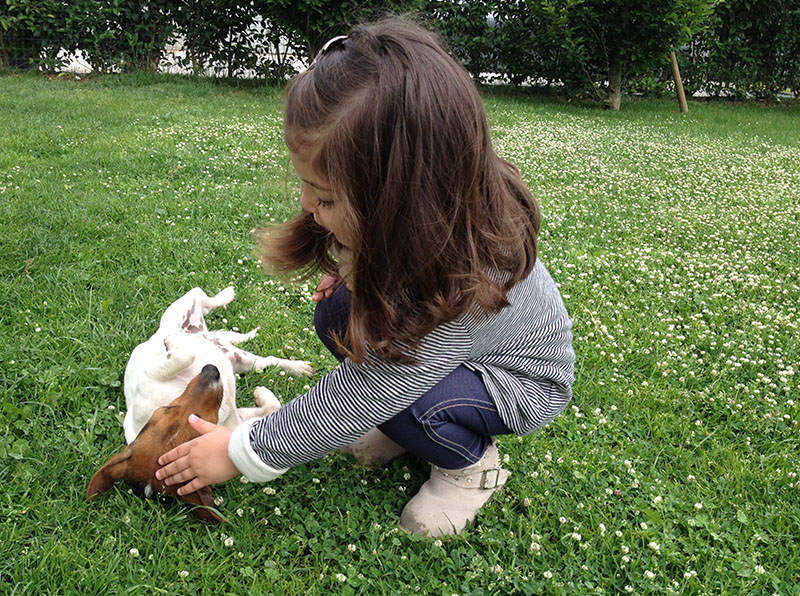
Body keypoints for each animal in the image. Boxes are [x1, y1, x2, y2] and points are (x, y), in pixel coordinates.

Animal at [86, 288, 312, 516]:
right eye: (202, 423)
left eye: (167, 409)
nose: (212, 371)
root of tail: (209, 335)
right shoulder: (233, 418)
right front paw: (261, 395)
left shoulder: (149, 375)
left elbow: (183, 355)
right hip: (240, 359)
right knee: (263, 358)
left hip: (187, 312)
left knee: (204, 300)